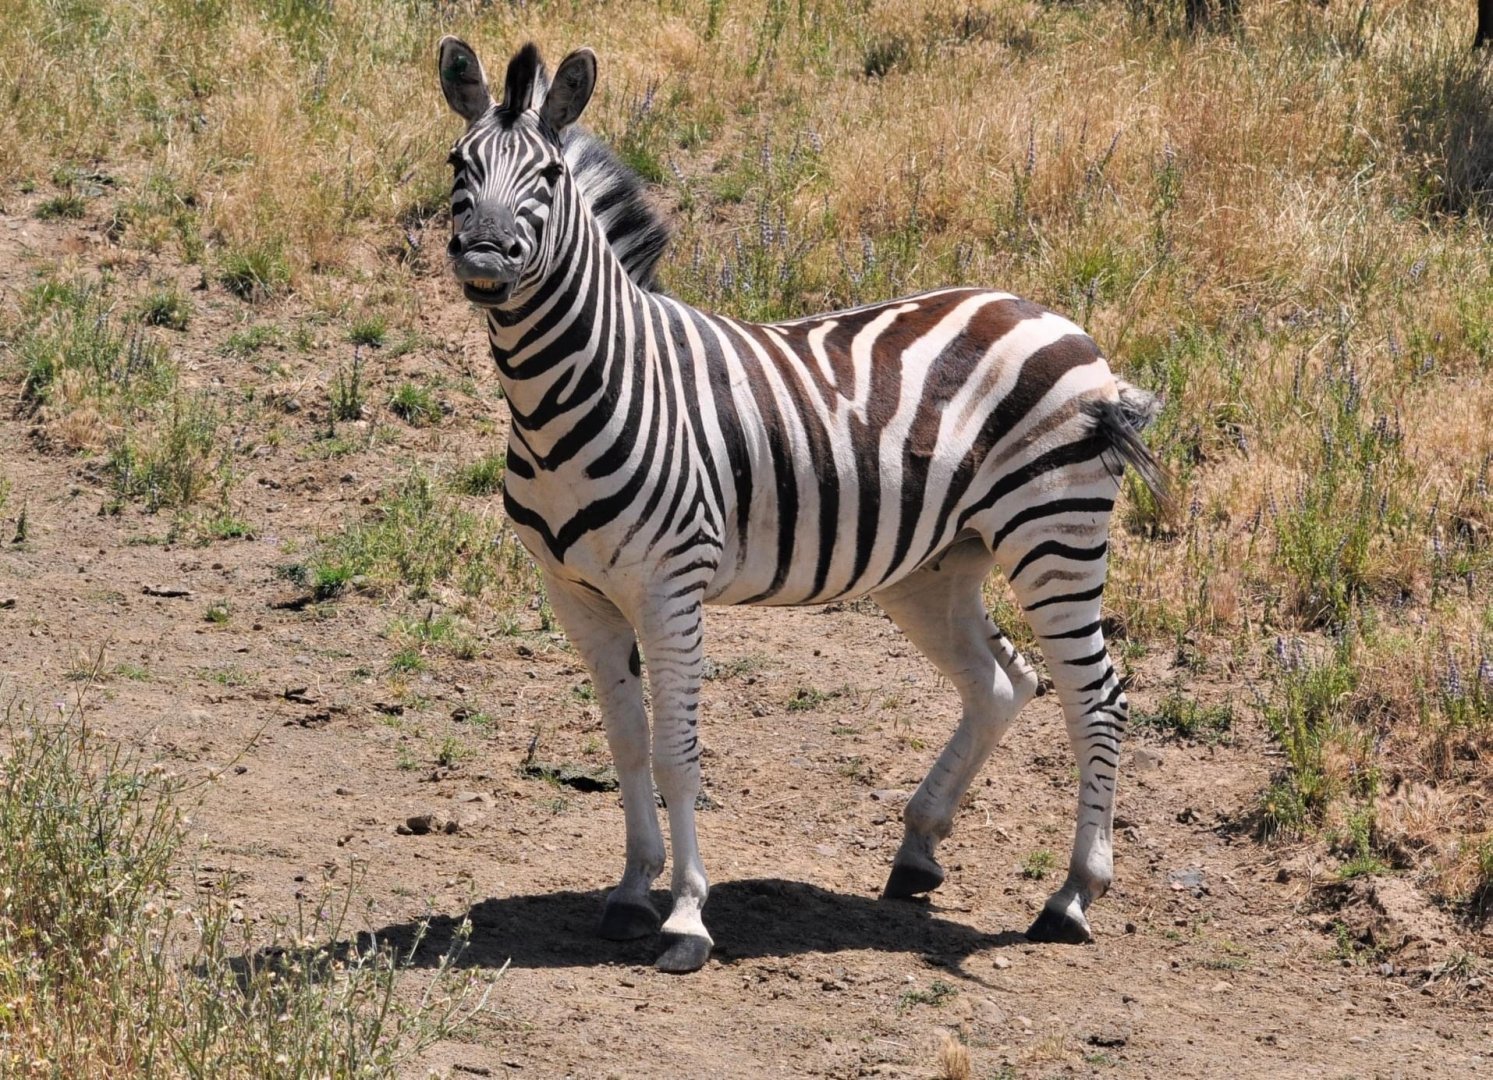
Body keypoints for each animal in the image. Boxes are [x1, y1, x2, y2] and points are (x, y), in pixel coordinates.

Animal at [437, 37, 1167, 973]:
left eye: (551, 175)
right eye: (458, 164)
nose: (483, 259)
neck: (579, 388)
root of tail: (1053, 318)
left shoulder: (670, 589)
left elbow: (677, 754)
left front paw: (685, 918)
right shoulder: (576, 594)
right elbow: (627, 746)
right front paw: (631, 891)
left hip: (1054, 534)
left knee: (1095, 696)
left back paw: (1072, 895)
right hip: (935, 563)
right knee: (1002, 680)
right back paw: (917, 851)